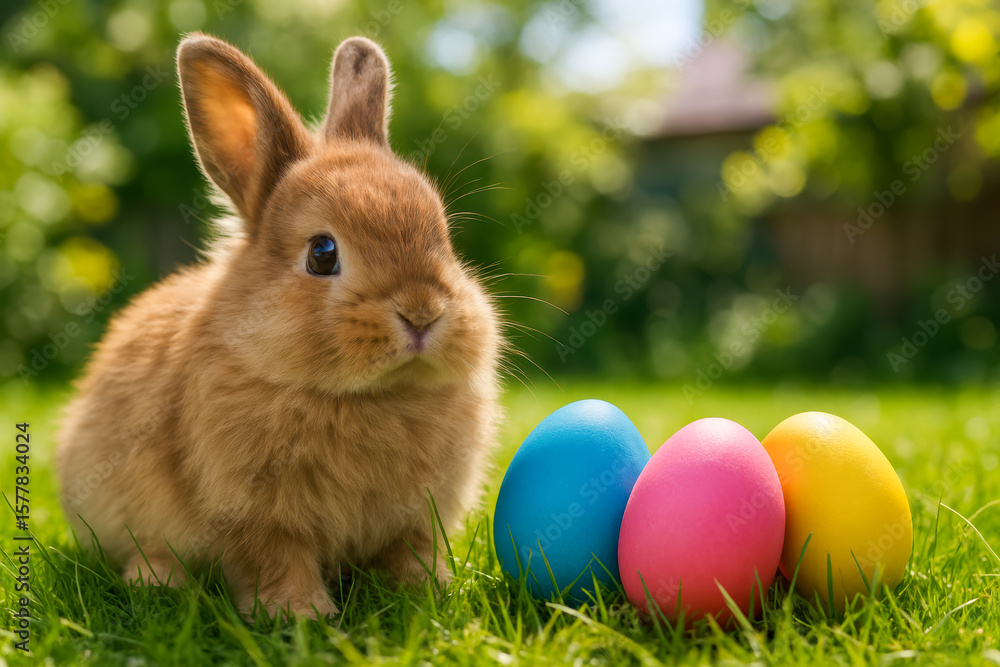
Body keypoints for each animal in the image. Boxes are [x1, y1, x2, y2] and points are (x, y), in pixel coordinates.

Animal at [55, 33, 502, 619]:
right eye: (322, 253)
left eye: (445, 238)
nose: (423, 312)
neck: (368, 396)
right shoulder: (257, 517)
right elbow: (278, 560)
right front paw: (301, 614)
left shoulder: (414, 520)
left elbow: (409, 553)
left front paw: (427, 591)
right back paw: (156, 581)